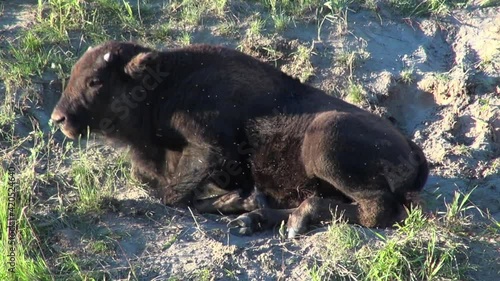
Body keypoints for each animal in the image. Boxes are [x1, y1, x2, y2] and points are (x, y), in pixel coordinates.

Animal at [50, 40, 428, 237]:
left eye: (95, 80)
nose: (58, 119)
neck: (162, 88)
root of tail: (411, 148)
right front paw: (243, 204)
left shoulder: (209, 150)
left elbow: (172, 195)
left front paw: (238, 200)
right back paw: (257, 219)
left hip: (326, 144)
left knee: (374, 208)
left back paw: (292, 220)